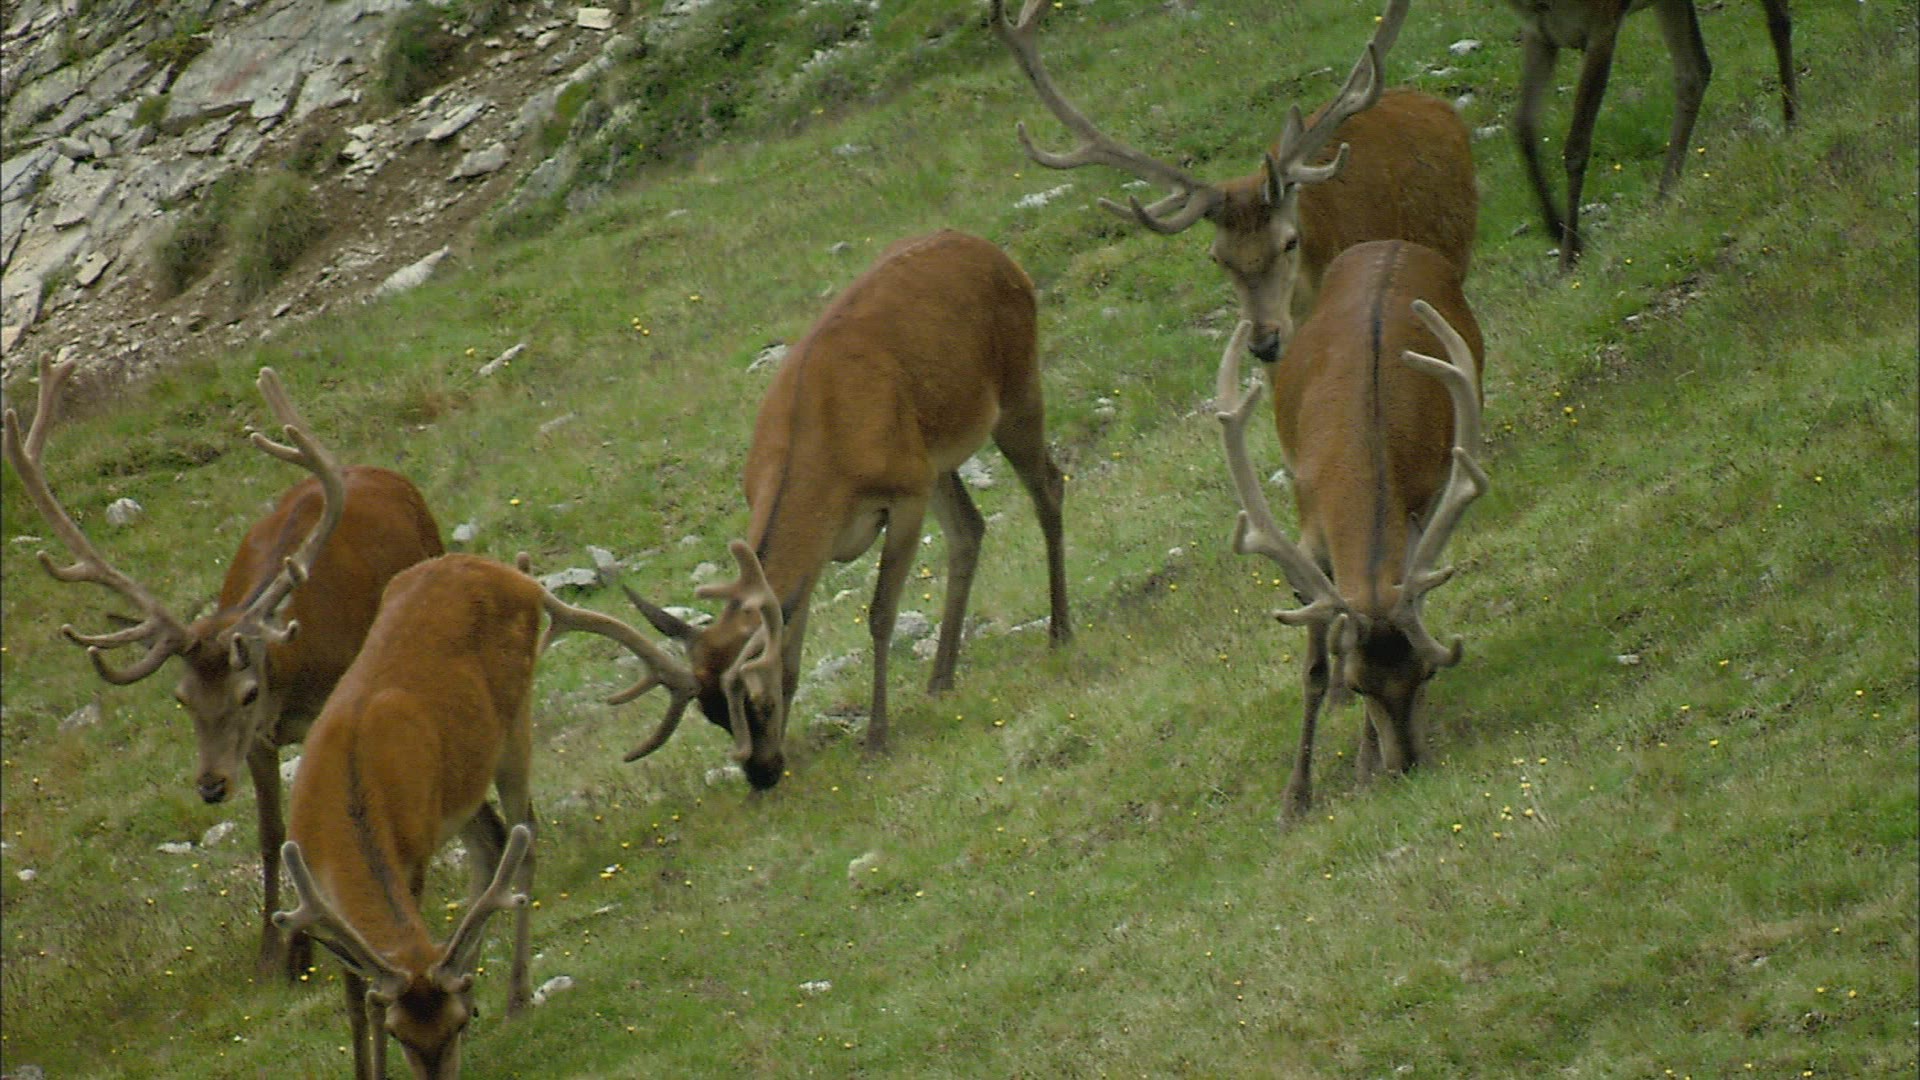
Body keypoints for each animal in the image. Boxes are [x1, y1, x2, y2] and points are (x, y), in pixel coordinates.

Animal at [1, 355, 443, 981]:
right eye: (182, 697)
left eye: (247, 692)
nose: (209, 785)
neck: (290, 681)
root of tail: (378, 472)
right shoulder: (256, 743)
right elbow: (271, 834)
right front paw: (279, 954)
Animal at [274, 550, 698, 1079]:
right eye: (399, 1034)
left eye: (452, 1027)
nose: (465, 1020)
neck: (345, 797)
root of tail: (506, 571)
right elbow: (356, 995)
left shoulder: (415, 852)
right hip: (463, 780)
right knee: (494, 842)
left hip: (514, 718)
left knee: (526, 832)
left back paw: (516, 996)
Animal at [620, 228, 1072, 790]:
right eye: (712, 714)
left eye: (756, 704)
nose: (762, 774)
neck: (824, 451)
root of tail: (998, 254)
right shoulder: (830, 538)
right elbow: (790, 645)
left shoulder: (903, 494)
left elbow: (880, 615)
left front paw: (877, 737)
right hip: (935, 458)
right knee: (970, 529)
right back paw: (940, 680)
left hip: (1016, 386)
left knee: (1048, 487)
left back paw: (1059, 631)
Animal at [1212, 239, 1487, 820]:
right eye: (1363, 687)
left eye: (1427, 674)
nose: (1407, 765)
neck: (1362, 451)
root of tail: (1391, 244)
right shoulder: (1310, 528)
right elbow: (1315, 667)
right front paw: (1294, 799)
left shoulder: (1421, 501)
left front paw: (1364, 768)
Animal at [1507, 0, 1797, 268]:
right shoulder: (1540, 32)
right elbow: (1523, 131)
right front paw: (1557, 230)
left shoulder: (1603, 24)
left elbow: (1576, 146)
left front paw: (1569, 254)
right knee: (1694, 72)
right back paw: (1664, 195)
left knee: (1779, 20)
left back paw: (1791, 122)